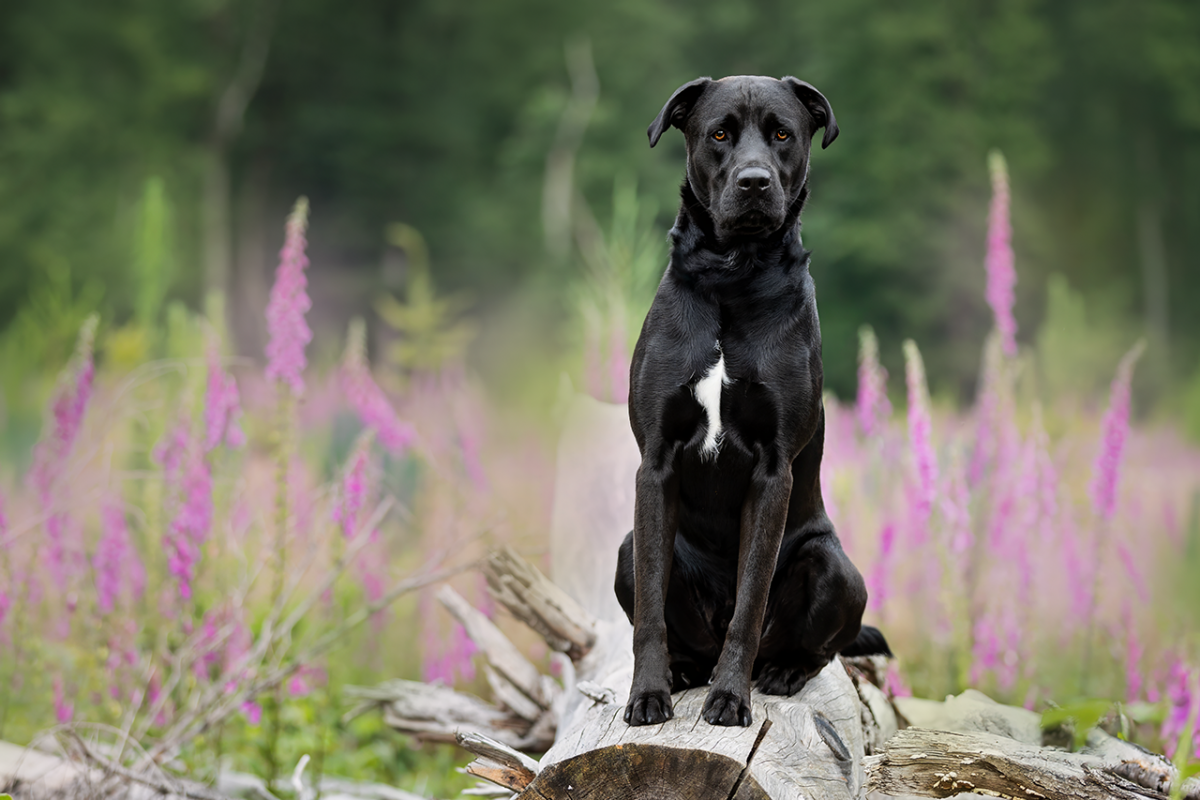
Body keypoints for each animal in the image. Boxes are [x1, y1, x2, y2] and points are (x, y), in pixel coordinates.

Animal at [614, 73, 888, 724]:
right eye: (719, 134)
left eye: (783, 134)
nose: (755, 181)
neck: (730, 275)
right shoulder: (655, 462)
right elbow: (650, 615)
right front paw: (647, 694)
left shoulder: (772, 469)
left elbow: (750, 600)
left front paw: (730, 698)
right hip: (626, 549)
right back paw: (686, 671)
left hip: (833, 566)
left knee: (818, 646)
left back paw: (780, 671)